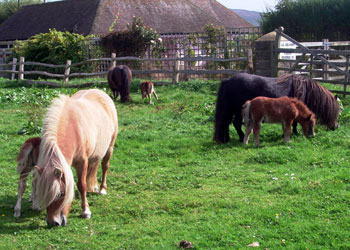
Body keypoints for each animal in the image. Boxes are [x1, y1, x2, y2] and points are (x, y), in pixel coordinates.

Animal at [34, 90, 118, 227]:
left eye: (60, 194)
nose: (53, 223)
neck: (72, 129)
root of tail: (100, 92)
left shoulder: (82, 163)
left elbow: (81, 185)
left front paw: (85, 211)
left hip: (109, 148)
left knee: (105, 166)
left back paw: (102, 189)